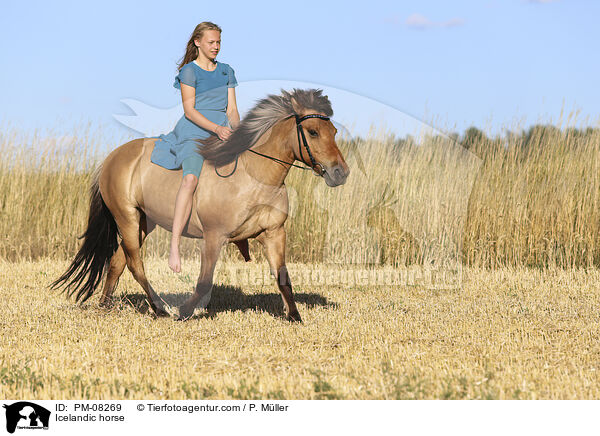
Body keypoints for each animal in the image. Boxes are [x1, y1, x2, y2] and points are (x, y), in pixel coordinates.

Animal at [51, 87, 352, 320]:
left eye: (334, 130)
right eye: (312, 132)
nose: (340, 173)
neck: (255, 177)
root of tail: (112, 157)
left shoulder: (274, 233)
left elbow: (283, 277)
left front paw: (294, 316)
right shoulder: (213, 235)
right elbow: (205, 280)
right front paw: (185, 311)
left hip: (143, 222)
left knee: (117, 261)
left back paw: (105, 305)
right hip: (126, 216)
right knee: (135, 263)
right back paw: (159, 308)